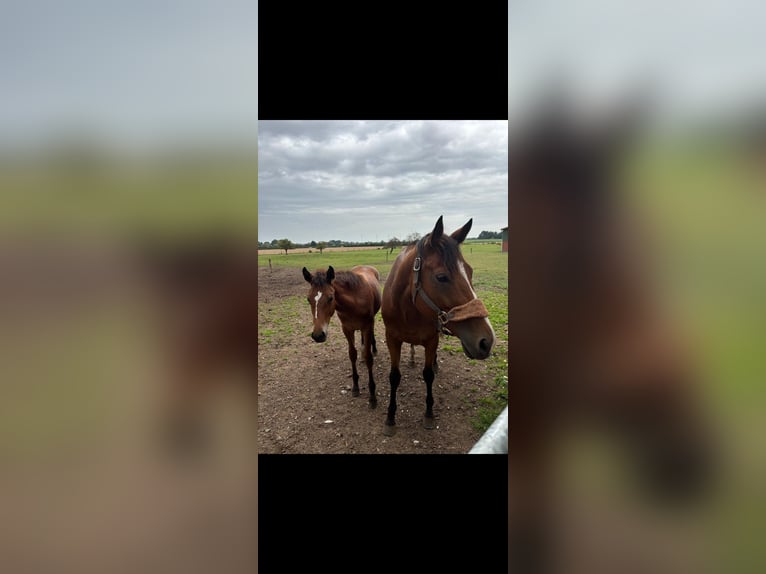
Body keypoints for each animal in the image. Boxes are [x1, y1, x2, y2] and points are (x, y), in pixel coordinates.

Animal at [302, 266, 382, 410]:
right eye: (308, 299)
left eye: (330, 298)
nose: (318, 335)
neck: (355, 301)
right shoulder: (347, 329)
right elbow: (352, 354)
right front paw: (355, 387)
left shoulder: (367, 326)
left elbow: (369, 358)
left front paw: (373, 396)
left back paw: (373, 348)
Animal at [380, 217, 498, 436]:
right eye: (441, 277)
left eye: (470, 272)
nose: (486, 341)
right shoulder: (392, 338)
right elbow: (394, 377)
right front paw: (390, 418)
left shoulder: (431, 339)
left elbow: (428, 375)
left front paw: (428, 414)